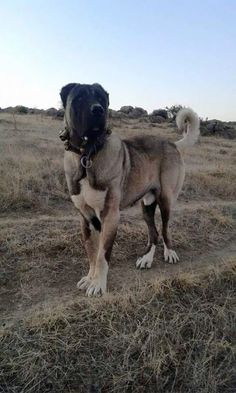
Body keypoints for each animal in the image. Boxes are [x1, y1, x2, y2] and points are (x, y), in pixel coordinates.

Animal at [59, 84, 199, 296]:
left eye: (101, 97)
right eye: (80, 97)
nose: (98, 110)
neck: (87, 154)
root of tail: (171, 143)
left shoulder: (110, 216)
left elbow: (102, 256)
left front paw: (98, 285)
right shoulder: (87, 218)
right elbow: (92, 253)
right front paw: (90, 278)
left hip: (165, 201)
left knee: (165, 229)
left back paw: (169, 252)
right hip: (146, 206)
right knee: (153, 233)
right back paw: (147, 259)